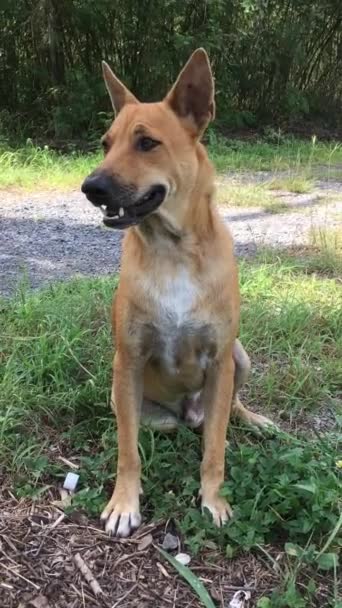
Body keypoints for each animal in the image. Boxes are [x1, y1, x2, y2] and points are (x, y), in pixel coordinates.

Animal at [81, 50, 272, 540]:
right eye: (106, 144)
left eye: (147, 143)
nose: (91, 187)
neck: (174, 251)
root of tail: (188, 413)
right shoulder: (127, 359)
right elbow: (127, 449)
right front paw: (124, 503)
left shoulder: (221, 360)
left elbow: (215, 451)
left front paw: (214, 499)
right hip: (134, 401)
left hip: (240, 357)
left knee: (226, 413)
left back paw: (252, 421)